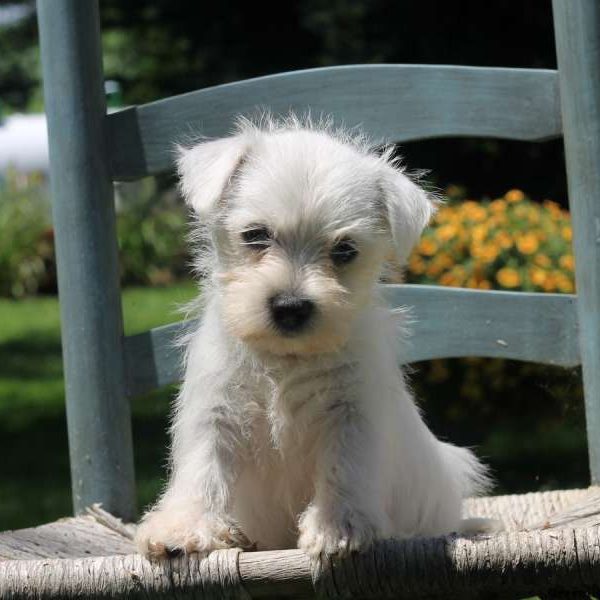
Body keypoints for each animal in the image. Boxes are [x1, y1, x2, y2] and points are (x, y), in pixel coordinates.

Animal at [135, 116, 488, 556]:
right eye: (255, 235)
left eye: (345, 250)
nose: (290, 306)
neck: (285, 360)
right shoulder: (215, 410)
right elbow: (203, 466)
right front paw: (183, 527)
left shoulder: (352, 413)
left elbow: (345, 468)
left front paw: (340, 528)